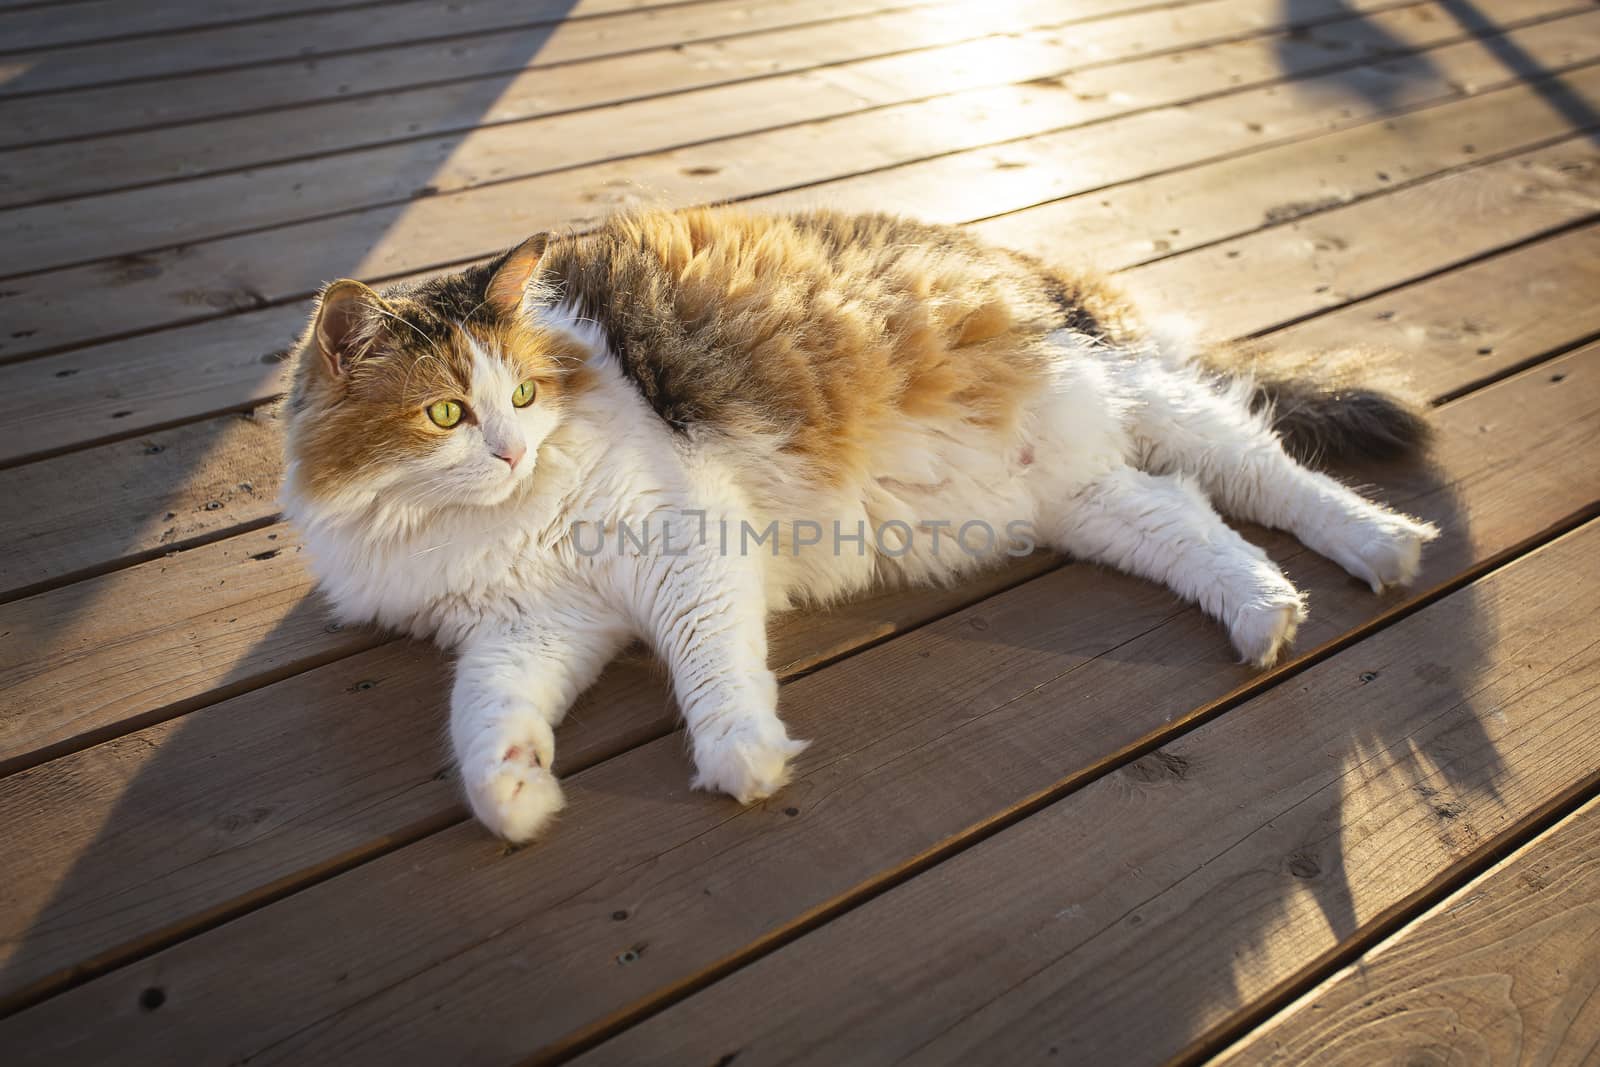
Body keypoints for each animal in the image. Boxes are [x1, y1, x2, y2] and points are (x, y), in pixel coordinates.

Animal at [281, 206, 1446, 844]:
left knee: (1269, 473)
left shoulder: (685, 544)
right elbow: (484, 713)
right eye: (446, 413)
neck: (499, 521)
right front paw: (514, 791)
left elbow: (711, 664)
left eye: (520, 395)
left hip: (1136, 394)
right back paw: (1264, 612)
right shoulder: (529, 621)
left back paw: (1381, 545)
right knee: (1196, 522)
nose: (511, 451)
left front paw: (743, 757)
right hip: (1078, 494)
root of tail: (1031, 260)